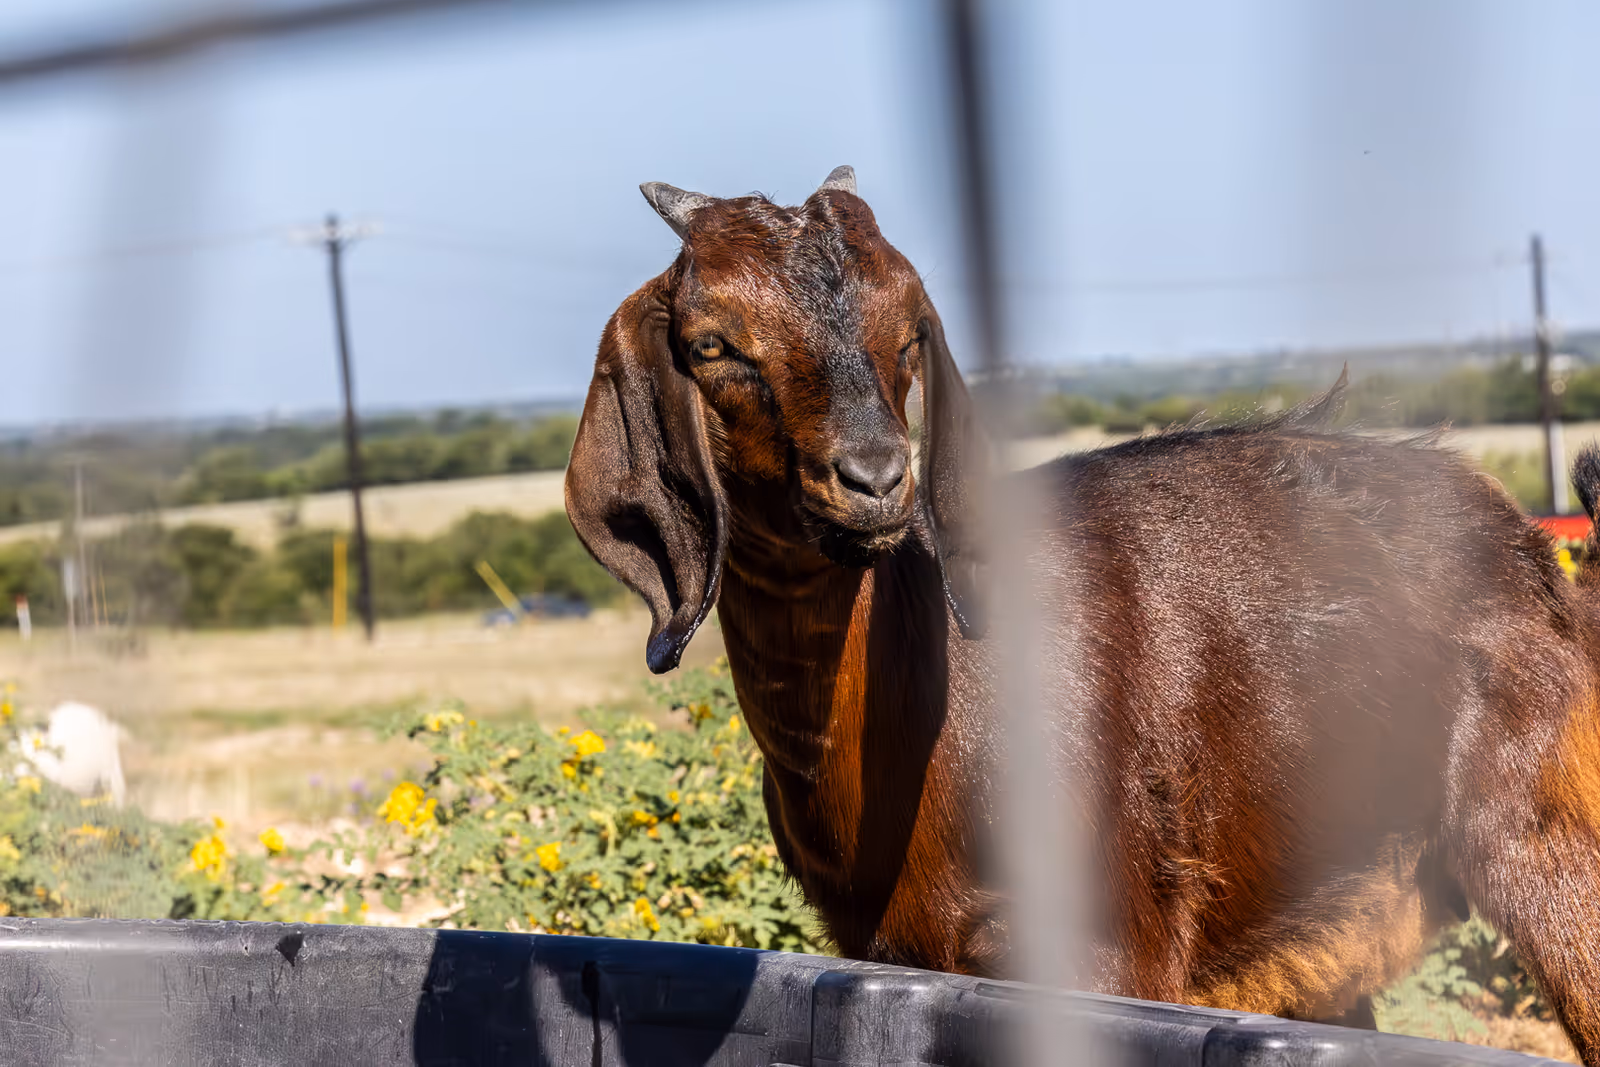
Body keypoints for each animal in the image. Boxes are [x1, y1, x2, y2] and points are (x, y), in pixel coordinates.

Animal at [565, 166, 1600, 1062]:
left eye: (907, 332)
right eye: (712, 343)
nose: (875, 477)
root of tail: (1532, 550)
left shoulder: (1109, 952)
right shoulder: (887, 948)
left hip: (1549, 838)